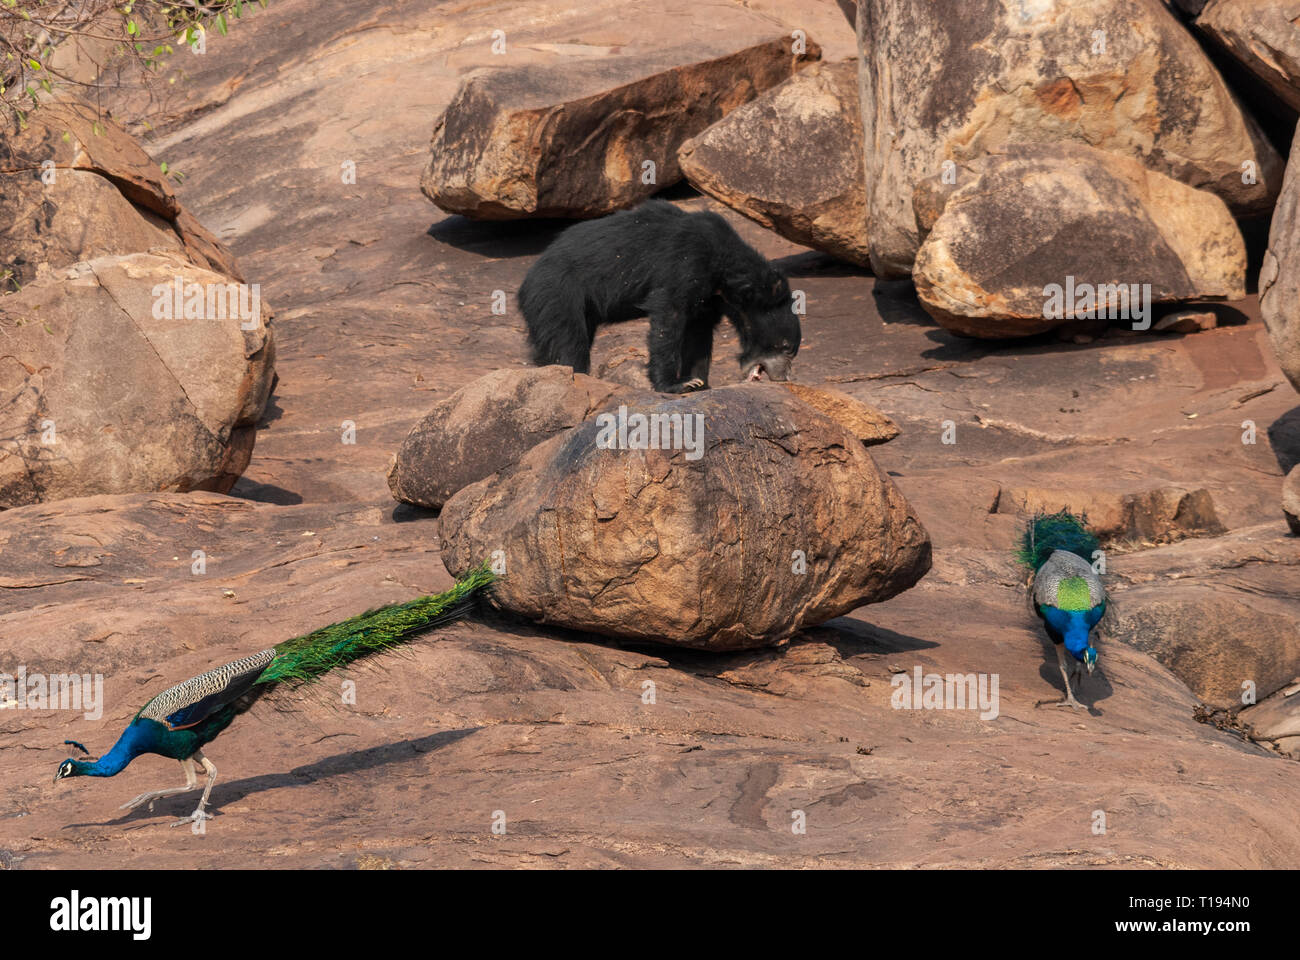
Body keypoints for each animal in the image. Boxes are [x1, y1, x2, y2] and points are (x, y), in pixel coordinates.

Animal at [514, 197, 795, 392]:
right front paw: (678, 384)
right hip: (557, 294)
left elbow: (699, 333)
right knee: (568, 341)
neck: (726, 272)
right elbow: (669, 317)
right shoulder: (685, 264)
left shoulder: (708, 298)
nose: (784, 377)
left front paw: (699, 382)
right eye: (785, 348)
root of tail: (528, 278)